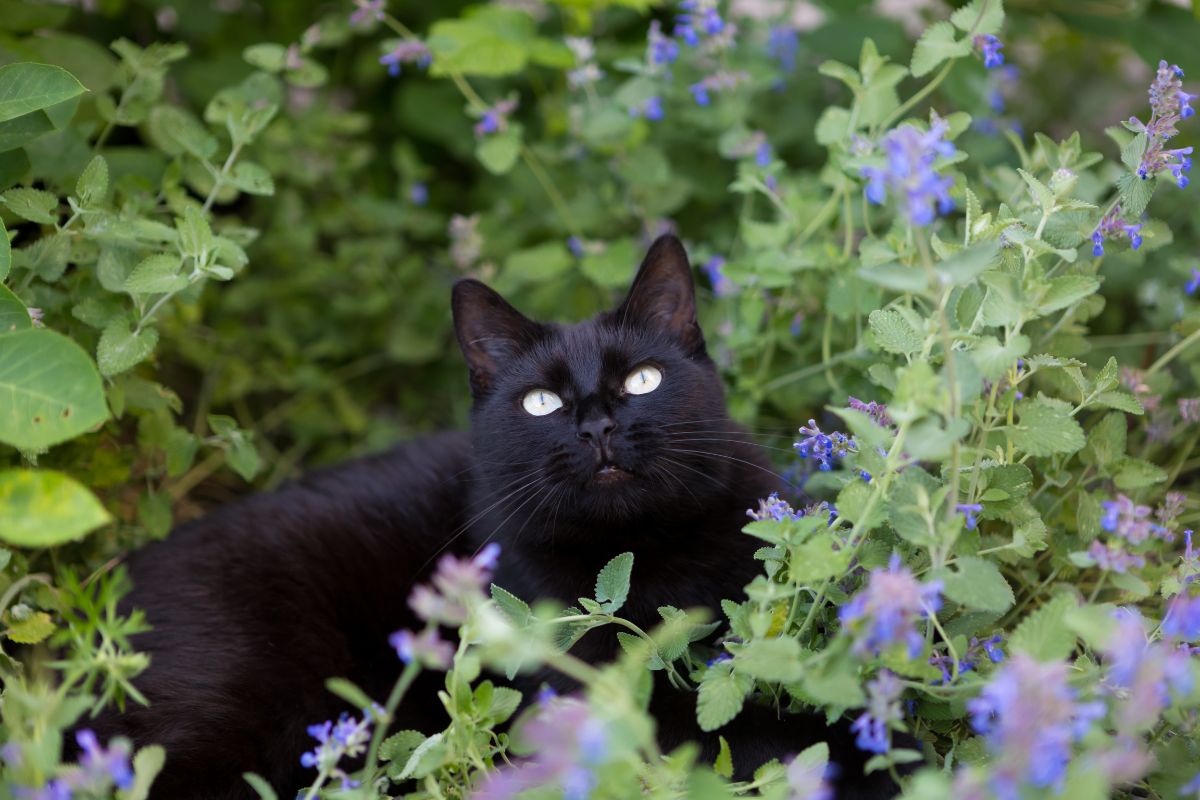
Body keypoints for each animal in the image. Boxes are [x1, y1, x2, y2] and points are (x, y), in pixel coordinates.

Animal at [91, 237, 902, 800]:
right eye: (541, 402)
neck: (643, 555)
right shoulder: (598, 699)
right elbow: (759, 732)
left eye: (643, 380)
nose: (597, 425)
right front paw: (877, 758)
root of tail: (107, 598)